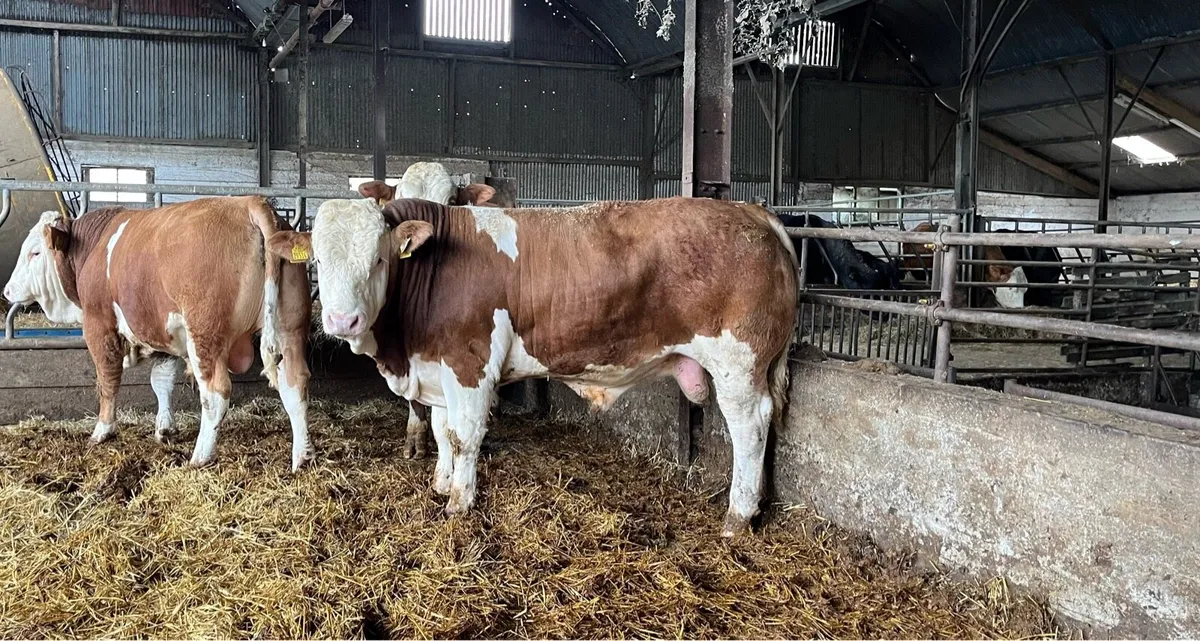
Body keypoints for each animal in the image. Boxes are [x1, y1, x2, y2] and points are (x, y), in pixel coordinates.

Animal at [2, 199, 314, 470]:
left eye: (35, 252)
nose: (7, 290)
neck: (94, 247)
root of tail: (249, 202)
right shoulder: (163, 330)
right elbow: (161, 381)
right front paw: (164, 428)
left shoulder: (98, 324)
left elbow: (107, 379)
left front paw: (102, 431)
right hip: (290, 327)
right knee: (294, 384)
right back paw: (302, 457)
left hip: (205, 334)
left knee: (215, 393)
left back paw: (200, 456)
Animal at [268, 196, 798, 536]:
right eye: (317, 260)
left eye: (379, 259)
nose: (342, 320)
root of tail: (753, 212)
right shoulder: (437, 367)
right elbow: (441, 431)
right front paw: (440, 482)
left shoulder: (470, 363)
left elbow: (464, 436)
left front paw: (459, 501)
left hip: (739, 364)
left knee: (750, 428)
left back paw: (737, 517)